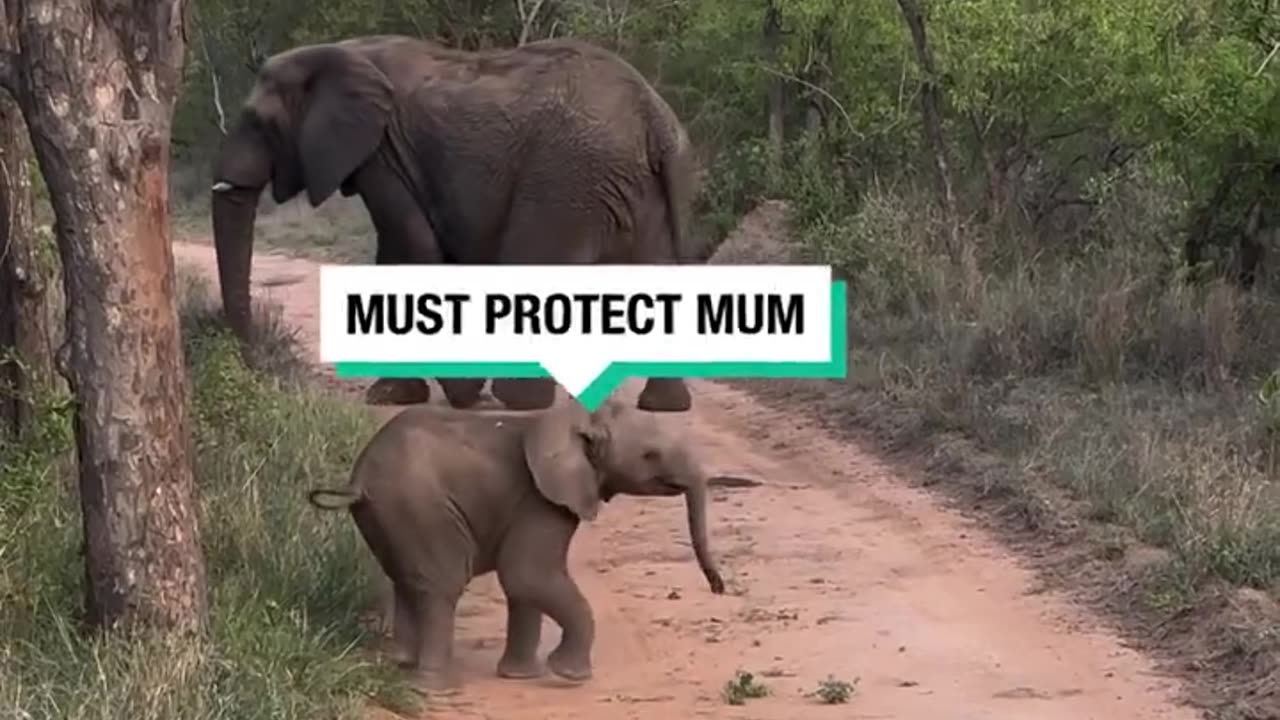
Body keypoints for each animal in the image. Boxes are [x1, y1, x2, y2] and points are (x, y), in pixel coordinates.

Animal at [207, 35, 701, 409]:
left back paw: (517, 401)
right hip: (638, 188)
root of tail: (652, 117)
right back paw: (664, 406)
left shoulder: (383, 153)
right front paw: (394, 396)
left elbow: (412, 250)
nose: (254, 364)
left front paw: (458, 394)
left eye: (260, 124)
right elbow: (396, 253)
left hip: (568, 177)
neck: (337, 52)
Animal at [305, 399, 727, 686]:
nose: (718, 587)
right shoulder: (542, 499)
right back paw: (433, 685)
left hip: (392, 515)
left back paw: (404, 665)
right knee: (440, 585)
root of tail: (358, 481)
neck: (576, 418)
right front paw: (569, 675)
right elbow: (527, 576)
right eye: (650, 455)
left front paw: (519, 677)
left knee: (407, 581)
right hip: (419, 506)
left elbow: (524, 586)